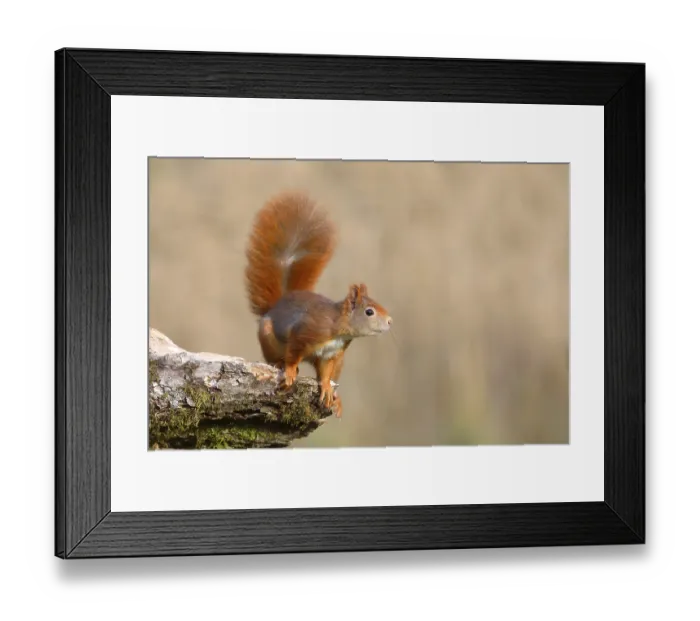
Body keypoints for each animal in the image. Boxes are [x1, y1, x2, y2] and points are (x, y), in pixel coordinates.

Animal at [244, 191, 393, 418]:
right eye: (369, 311)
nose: (390, 321)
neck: (338, 327)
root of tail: (277, 305)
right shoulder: (305, 332)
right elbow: (293, 354)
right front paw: (289, 372)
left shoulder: (332, 355)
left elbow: (325, 373)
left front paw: (327, 388)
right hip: (268, 336)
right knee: (274, 357)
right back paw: (279, 363)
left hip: (340, 361)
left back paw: (337, 399)